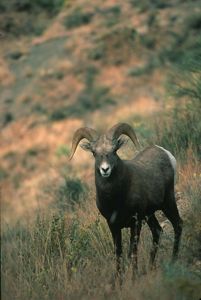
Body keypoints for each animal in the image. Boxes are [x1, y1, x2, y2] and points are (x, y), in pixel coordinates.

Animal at [70, 122, 183, 278]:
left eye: (114, 150)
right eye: (94, 153)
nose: (105, 169)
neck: (115, 199)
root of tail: (165, 153)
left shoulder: (135, 222)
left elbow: (132, 253)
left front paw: (134, 278)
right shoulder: (113, 225)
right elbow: (119, 255)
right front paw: (120, 281)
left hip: (168, 202)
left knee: (178, 224)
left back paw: (173, 261)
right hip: (150, 214)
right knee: (157, 231)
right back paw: (150, 267)